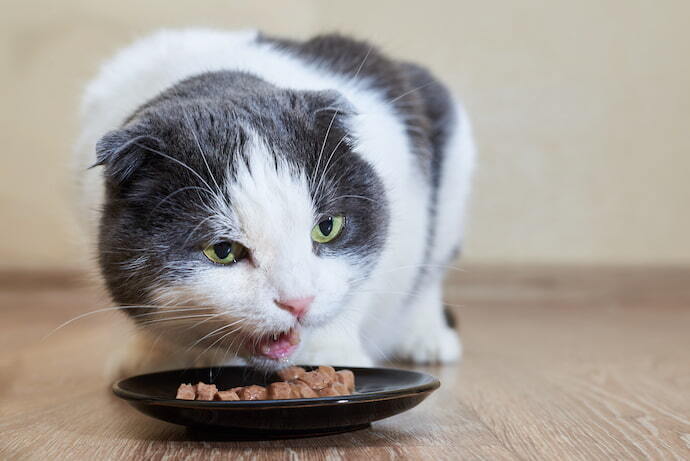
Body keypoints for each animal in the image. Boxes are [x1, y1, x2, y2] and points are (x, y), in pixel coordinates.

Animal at [74, 27, 472, 378]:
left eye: (327, 228)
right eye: (222, 250)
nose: (298, 302)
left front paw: (331, 352)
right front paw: (155, 356)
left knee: (429, 275)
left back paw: (426, 337)